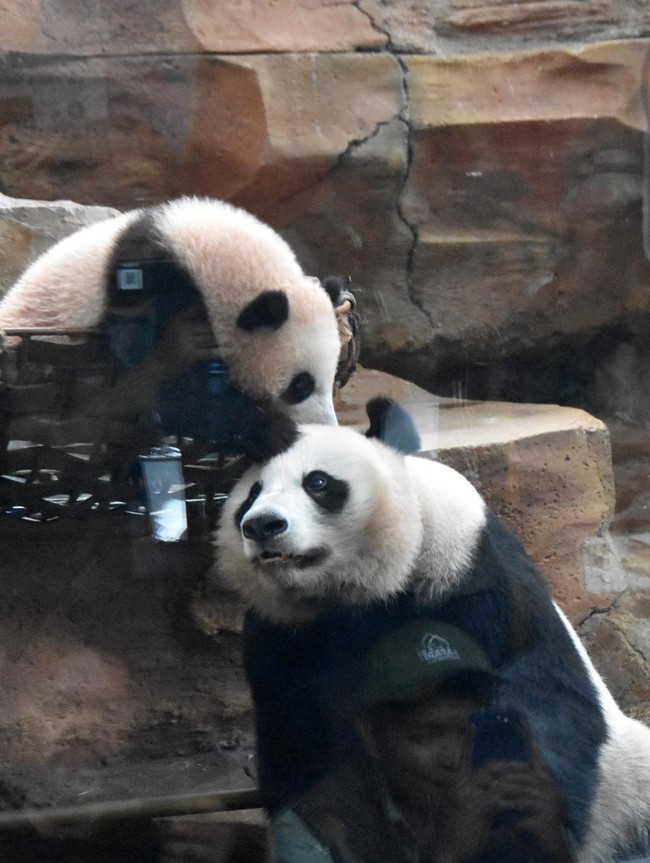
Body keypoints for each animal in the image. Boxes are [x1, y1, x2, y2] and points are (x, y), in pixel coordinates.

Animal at [0, 196, 346, 456]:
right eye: (301, 386)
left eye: (331, 378)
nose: (328, 427)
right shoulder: (147, 282)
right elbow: (162, 385)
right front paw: (273, 431)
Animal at [215, 398, 650, 862]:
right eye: (251, 495)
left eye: (317, 482)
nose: (263, 525)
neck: (356, 597)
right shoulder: (284, 637)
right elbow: (312, 762)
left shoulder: (473, 583)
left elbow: (537, 711)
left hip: (626, 791)